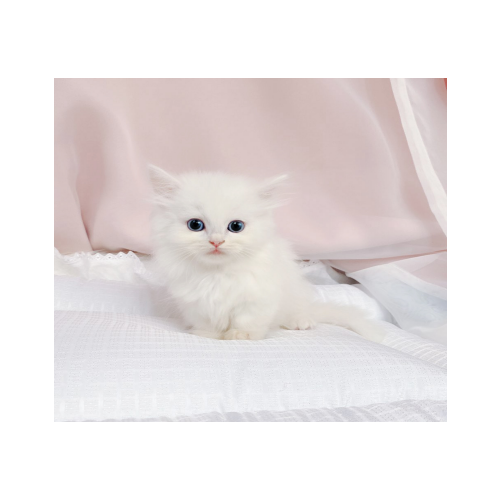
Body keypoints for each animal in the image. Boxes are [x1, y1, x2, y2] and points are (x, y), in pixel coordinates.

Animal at [149, 165, 385, 342]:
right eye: (195, 225)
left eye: (236, 226)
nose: (216, 242)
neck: (218, 273)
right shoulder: (197, 303)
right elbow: (207, 324)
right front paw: (208, 335)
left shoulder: (257, 299)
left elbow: (246, 320)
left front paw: (240, 335)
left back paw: (300, 321)